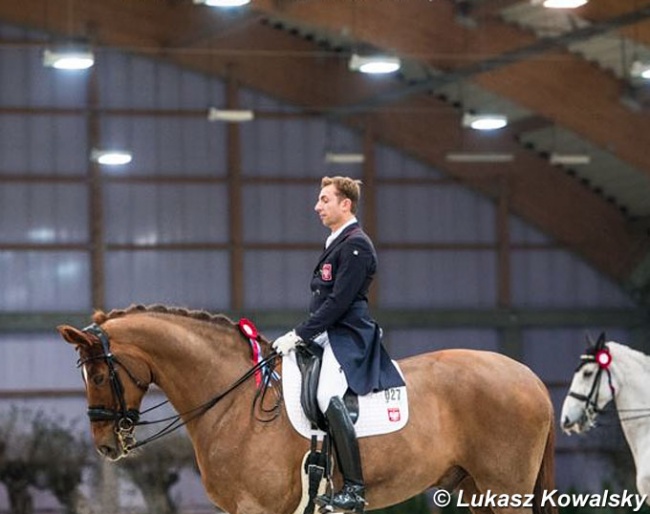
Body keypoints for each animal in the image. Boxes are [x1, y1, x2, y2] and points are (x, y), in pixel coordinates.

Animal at [58, 304, 556, 512]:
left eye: (98, 376)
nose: (106, 445)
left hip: (504, 489)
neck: (233, 400)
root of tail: (530, 377)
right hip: (477, 491)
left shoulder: (257, 508)